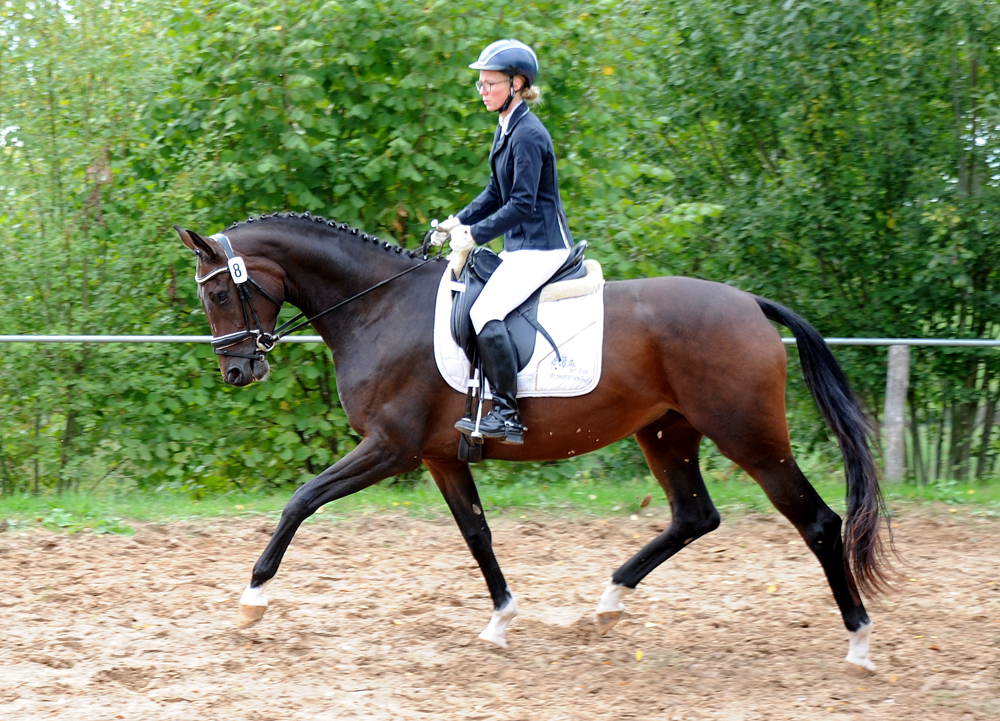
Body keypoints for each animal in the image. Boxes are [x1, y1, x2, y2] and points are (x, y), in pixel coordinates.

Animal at [172, 212, 892, 676]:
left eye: (219, 291)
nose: (237, 371)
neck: (378, 308)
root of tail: (750, 304)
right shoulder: (439, 456)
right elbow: (477, 534)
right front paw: (500, 621)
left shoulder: (391, 447)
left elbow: (302, 499)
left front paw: (252, 600)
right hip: (666, 430)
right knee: (694, 514)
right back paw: (608, 603)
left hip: (749, 435)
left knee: (817, 522)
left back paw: (859, 644)